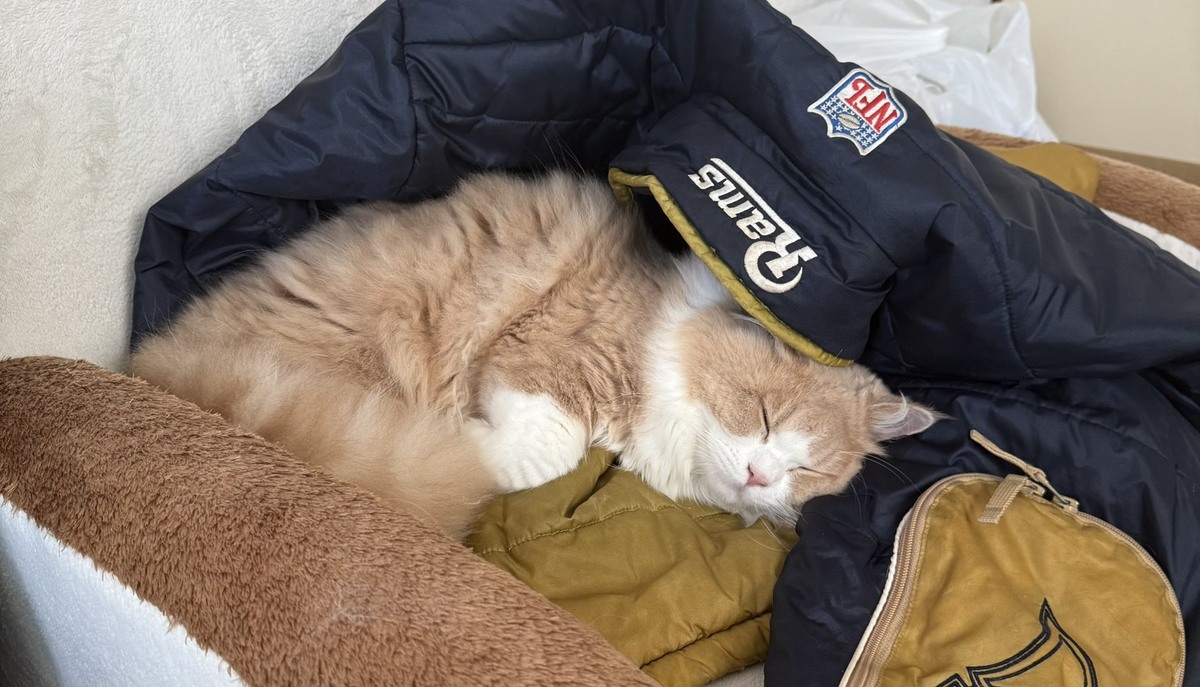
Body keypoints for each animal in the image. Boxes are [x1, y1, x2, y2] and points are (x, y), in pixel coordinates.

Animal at [131, 171, 938, 540]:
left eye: (809, 471)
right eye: (762, 412)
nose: (760, 475)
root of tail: (156, 361)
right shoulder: (545, 356)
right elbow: (539, 450)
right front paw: (465, 440)